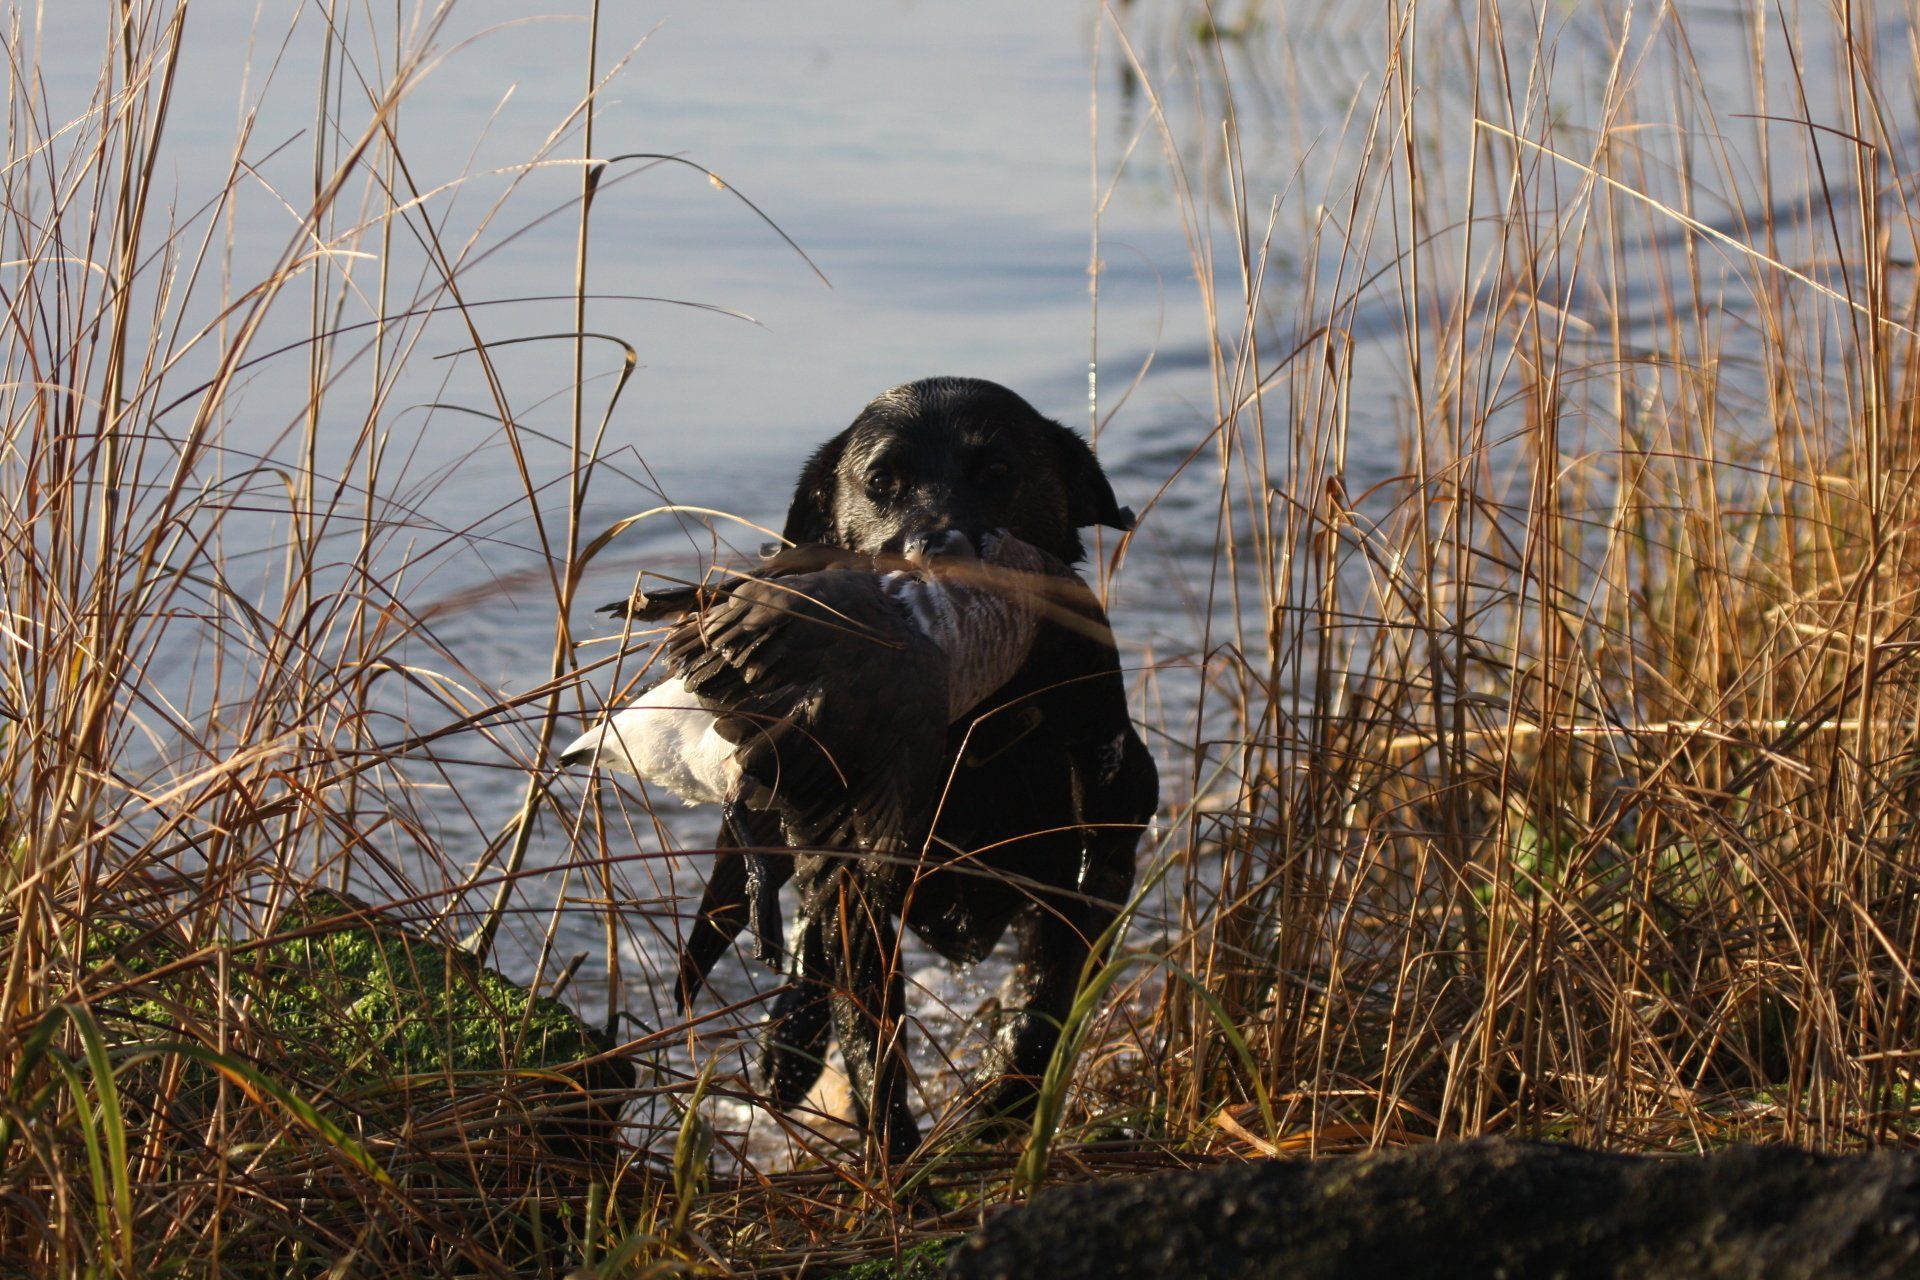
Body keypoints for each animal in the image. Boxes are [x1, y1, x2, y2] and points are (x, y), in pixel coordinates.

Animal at [675, 378, 1152, 1159]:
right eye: (880, 482)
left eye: (997, 470)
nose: (933, 550)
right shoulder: (860, 892)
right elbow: (871, 1038)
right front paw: (893, 1153)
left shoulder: (1089, 873)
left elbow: (1040, 1010)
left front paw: (997, 1111)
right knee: (807, 935)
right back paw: (788, 1043)